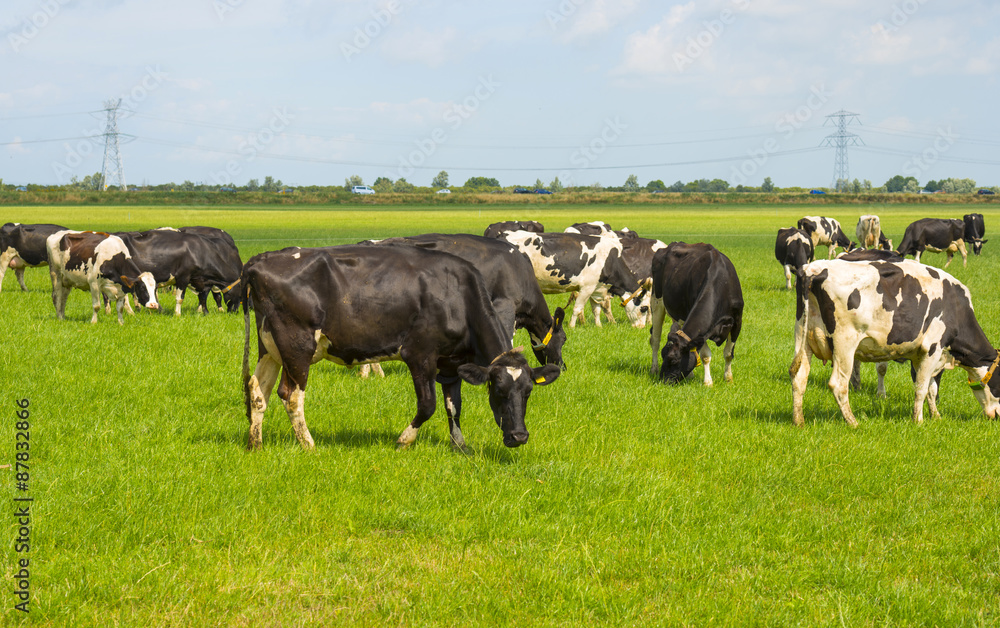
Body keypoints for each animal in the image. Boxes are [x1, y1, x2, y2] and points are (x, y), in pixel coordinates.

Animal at [238, 244, 560, 452]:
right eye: (499, 390)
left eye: (528, 392)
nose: (519, 437)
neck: (458, 294)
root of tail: (260, 260)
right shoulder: (420, 356)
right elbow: (428, 404)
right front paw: (404, 440)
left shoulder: (452, 363)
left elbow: (453, 405)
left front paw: (459, 445)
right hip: (297, 346)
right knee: (291, 395)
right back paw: (308, 444)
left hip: (270, 347)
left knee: (257, 391)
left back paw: (256, 443)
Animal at [500, 231, 648, 328]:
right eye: (644, 308)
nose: (641, 328)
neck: (609, 260)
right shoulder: (586, 287)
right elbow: (577, 308)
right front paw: (571, 326)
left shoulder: (595, 287)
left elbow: (596, 309)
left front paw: (598, 326)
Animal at [648, 242, 744, 386]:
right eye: (662, 355)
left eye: (674, 360)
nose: (663, 381)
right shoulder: (701, 331)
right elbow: (705, 356)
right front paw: (708, 382)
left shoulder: (737, 320)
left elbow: (728, 353)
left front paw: (728, 378)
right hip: (657, 300)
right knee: (655, 339)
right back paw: (654, 369)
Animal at [788, 256, 1000, 426]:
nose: (997, 415)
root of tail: (813, 268)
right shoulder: (932, 349)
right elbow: (922, 388)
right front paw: (918, 421)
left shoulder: (925, 355)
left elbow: (931, 388)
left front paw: (936, 416)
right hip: (844, 344)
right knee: (838, 384)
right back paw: (853, 422)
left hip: (802, 337)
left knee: (799, 377)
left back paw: (799, 421)